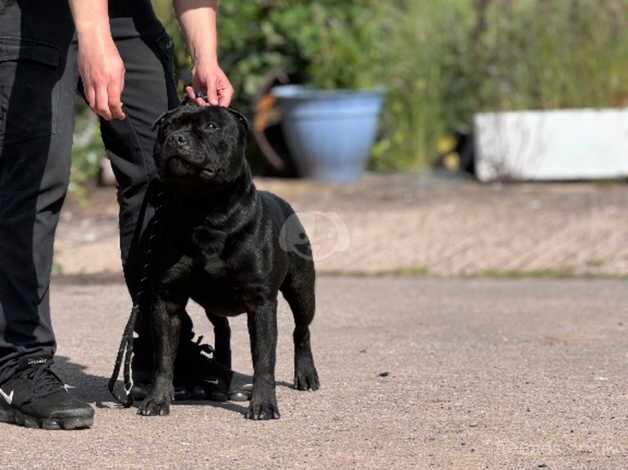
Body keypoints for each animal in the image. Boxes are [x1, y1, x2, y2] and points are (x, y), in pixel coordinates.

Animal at [137, 103, 318, 418]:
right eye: (168, 127)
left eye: (211, 126)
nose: (176, 138)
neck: (204, 209)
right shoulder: (167, 299)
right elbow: (164, 357)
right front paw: (157, 400)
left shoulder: (260, 301)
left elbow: (264, 359)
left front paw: (263, 404)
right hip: (215, 303)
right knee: (223, 334)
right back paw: (221, 384)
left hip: (302, 289)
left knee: (302, 329)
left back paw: (306, 375)